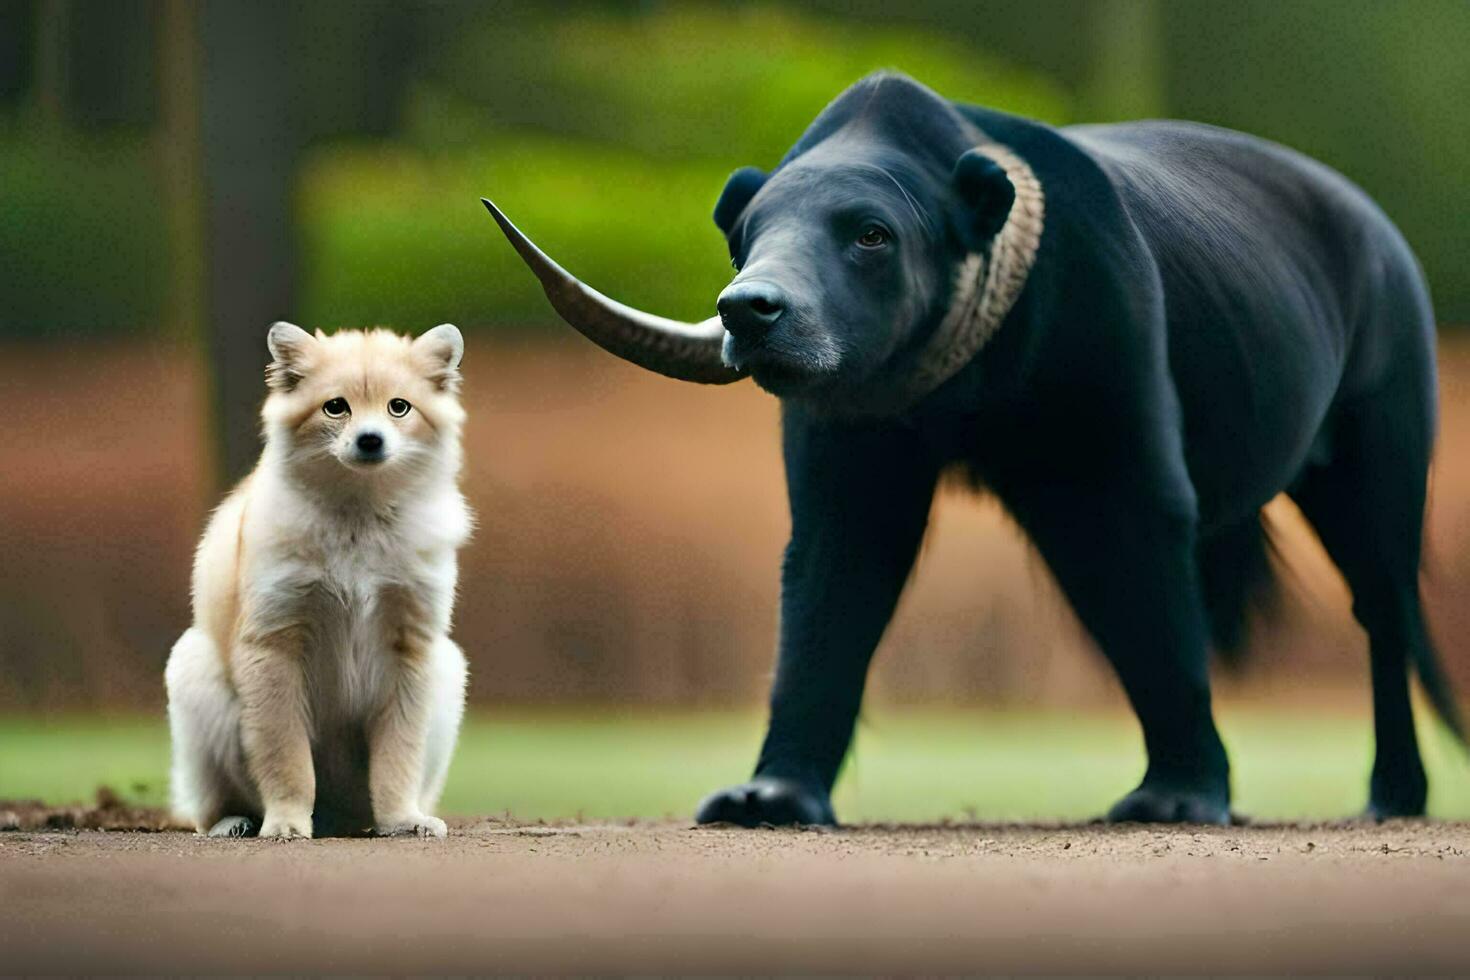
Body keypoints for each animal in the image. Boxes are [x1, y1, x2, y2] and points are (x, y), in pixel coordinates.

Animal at [169, 323, 473, 846]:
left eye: (399, 407)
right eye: (336, 407)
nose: (370, 441)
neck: (358, 518)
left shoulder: (411, 647)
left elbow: (398, 757)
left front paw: (402, 820)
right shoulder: (275, 643)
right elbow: (287, 758)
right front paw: (287, 824)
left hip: (449, 669)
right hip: (192, 671)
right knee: (208, 807)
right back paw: (235, 823)